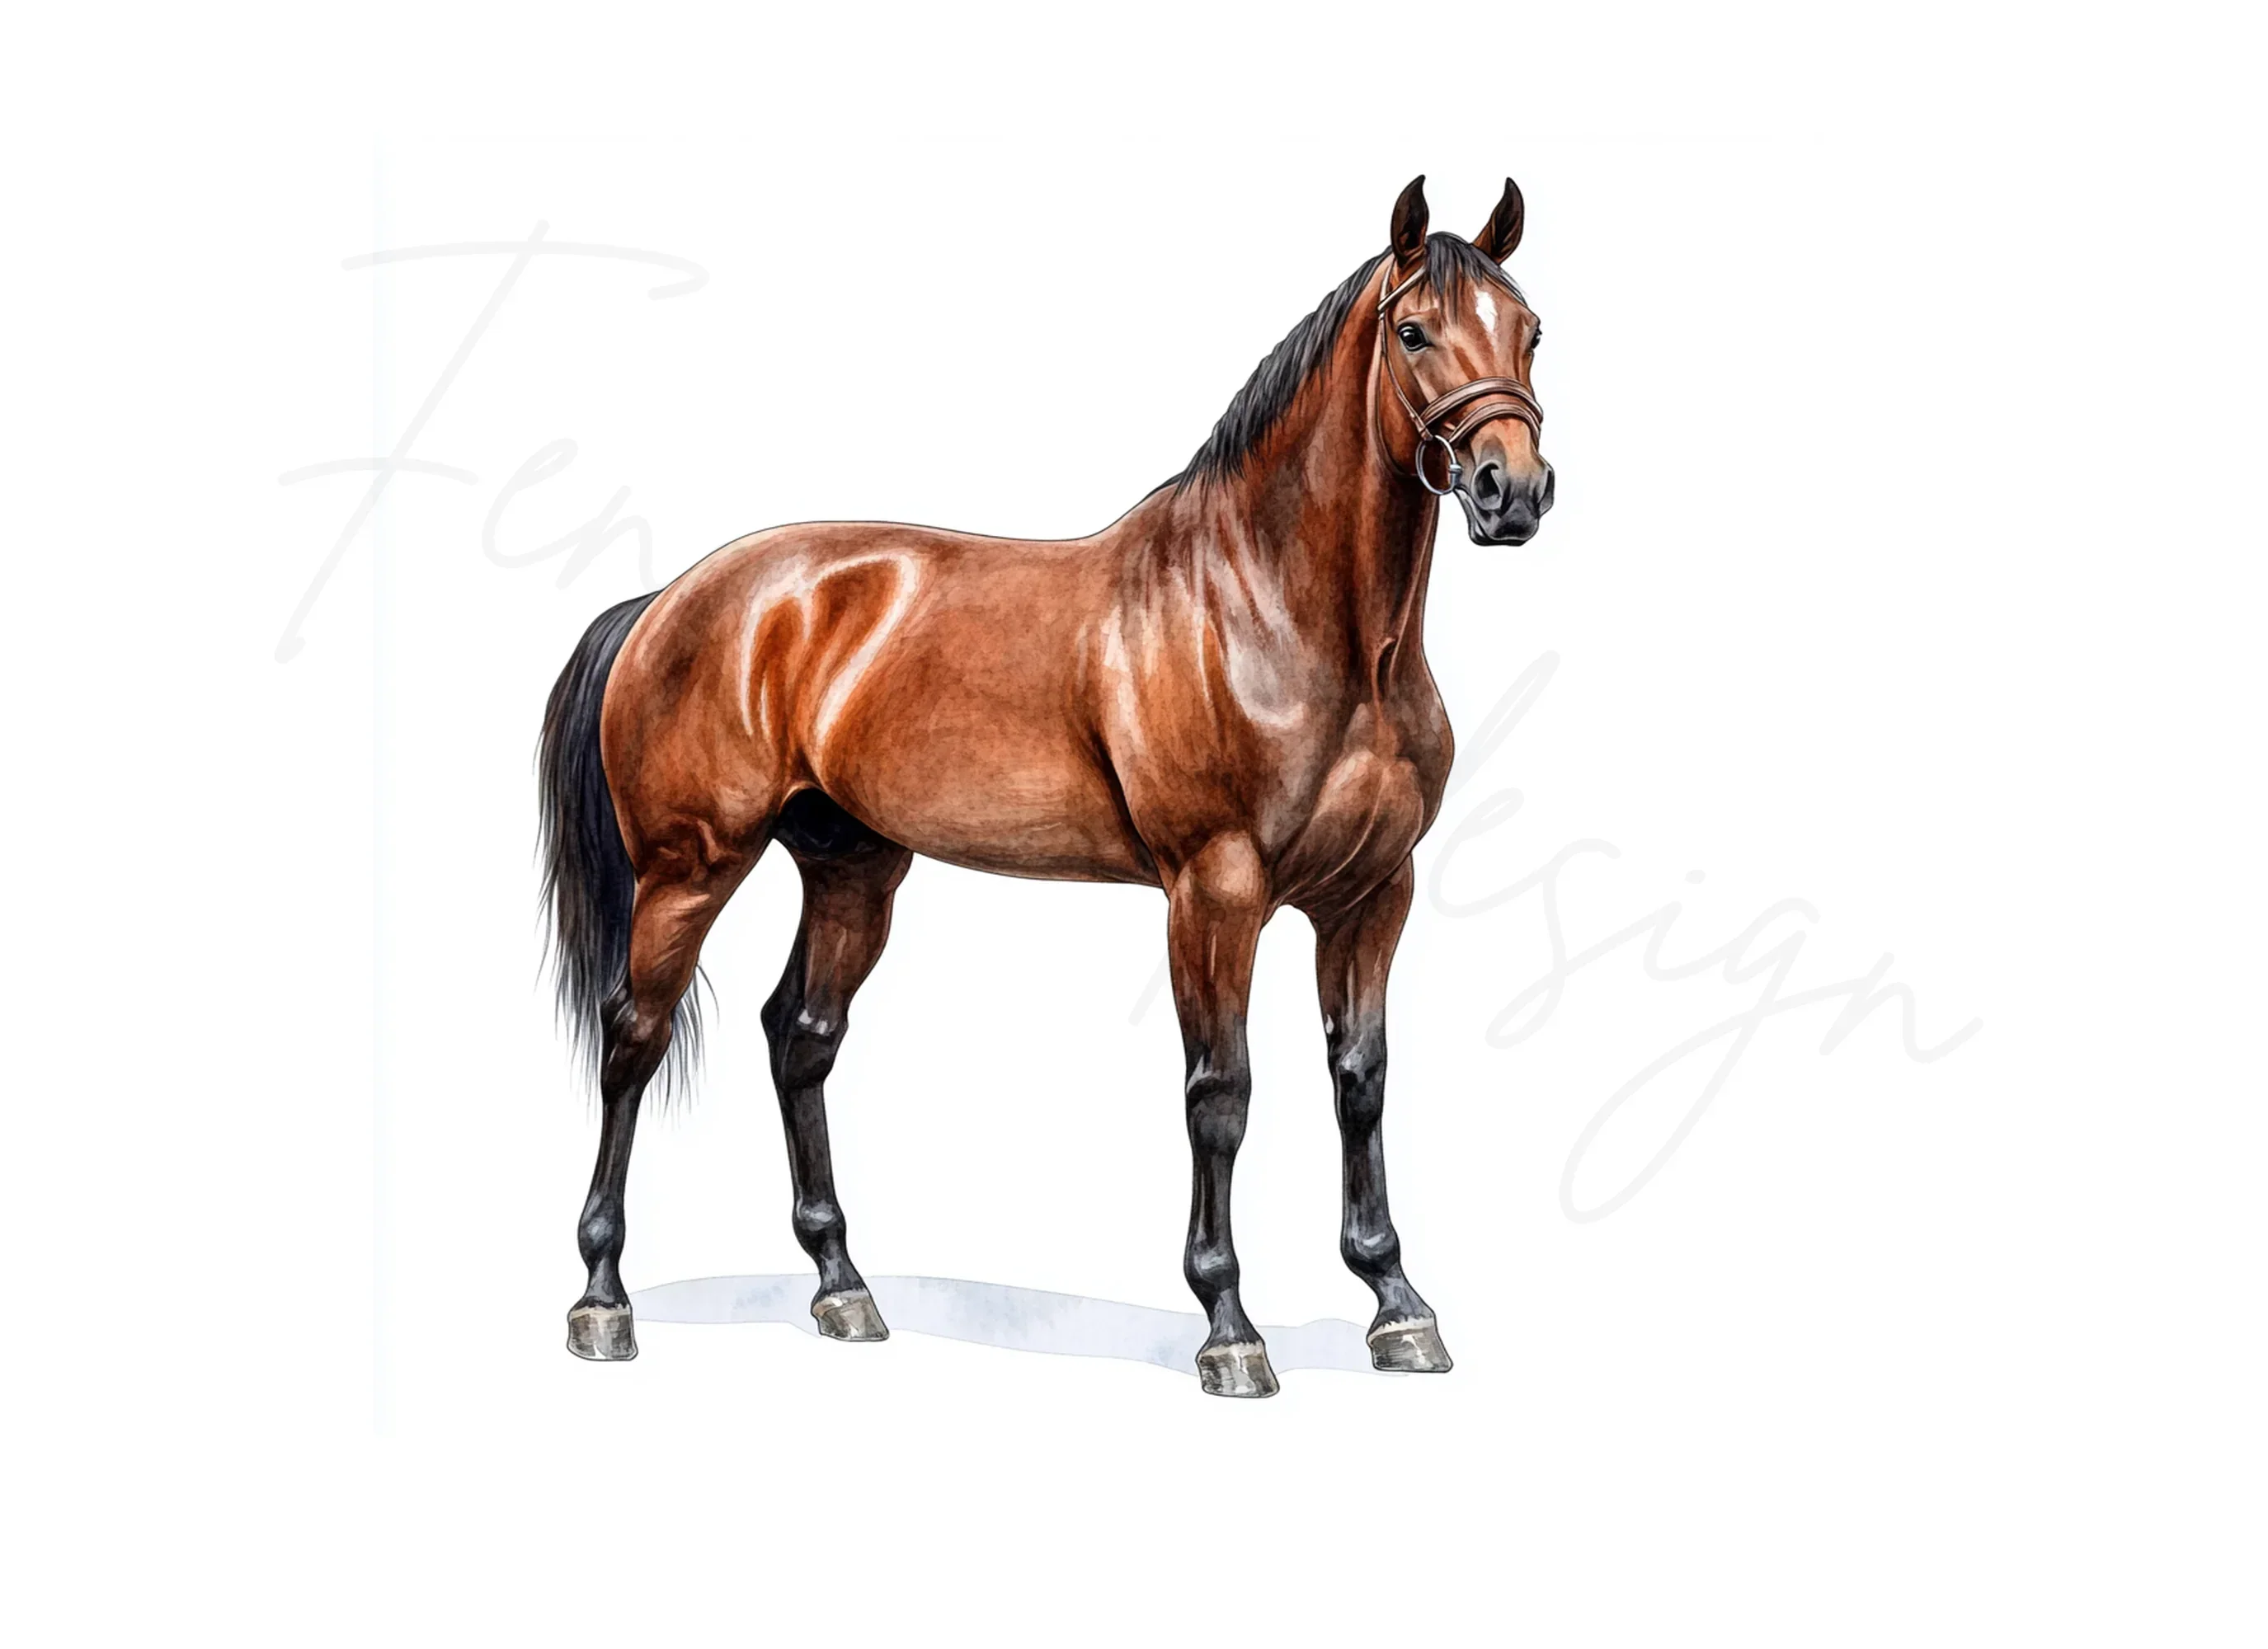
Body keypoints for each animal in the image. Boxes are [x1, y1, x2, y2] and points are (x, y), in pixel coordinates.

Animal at [538, 175, 1552, 1396]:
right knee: (632, 1039)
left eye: (1530, 331)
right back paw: (602, 1300)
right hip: (688, 870)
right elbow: (1220, 1094)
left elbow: (1360, 1078)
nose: (1513, 492)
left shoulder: (1370, 896)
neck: (1276, 611)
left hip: (851, 868)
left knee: (801, 1034)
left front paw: (1397, 1304)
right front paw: (1228, 1328)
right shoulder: (1213, 892)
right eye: (1412, 332)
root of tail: (668, 601)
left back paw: (841, 1287)